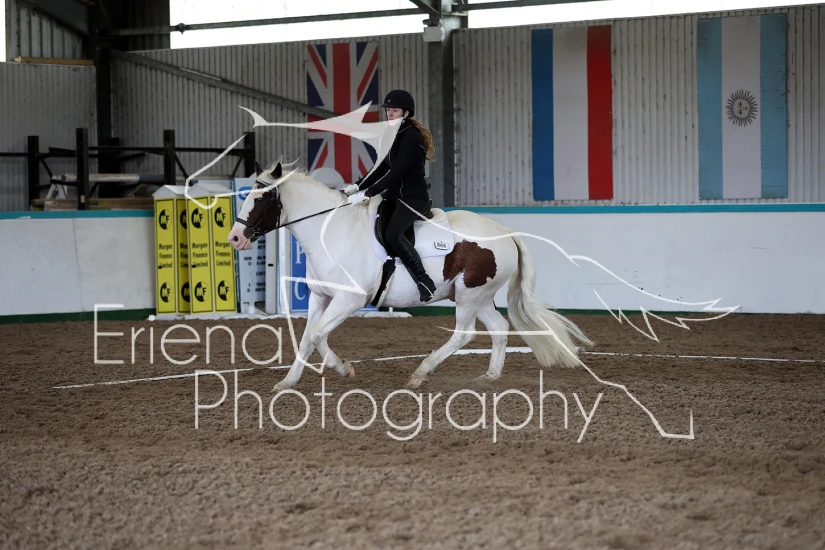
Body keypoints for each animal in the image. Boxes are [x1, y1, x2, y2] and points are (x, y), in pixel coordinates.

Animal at [227, 161, 593, 391]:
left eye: (261, 198)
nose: (235, 238)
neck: (330, 231)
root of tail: (506, 233)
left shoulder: (349, 300)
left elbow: (317, 336)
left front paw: (344, 367)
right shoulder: (321, 297)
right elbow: (306, 339)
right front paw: (288, 382)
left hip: (469, 295)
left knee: (464, 335)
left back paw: (421, 373)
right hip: (479, 296)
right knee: (499, 329)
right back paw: (489, 377)